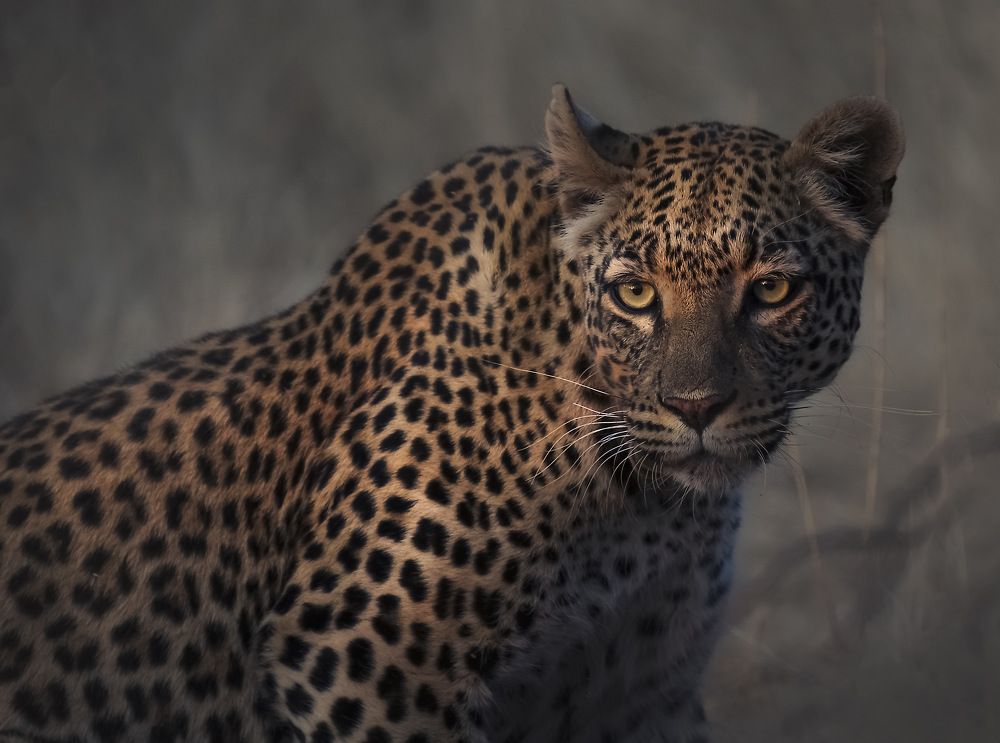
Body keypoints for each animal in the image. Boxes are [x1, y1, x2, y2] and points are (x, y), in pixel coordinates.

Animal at [0, 85, 903, 742]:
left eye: (772, 290)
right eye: (636, 293)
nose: (696, 406)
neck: (644, 504)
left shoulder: (639, 689)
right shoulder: (356, 657)